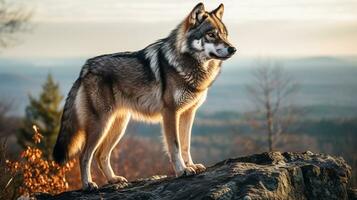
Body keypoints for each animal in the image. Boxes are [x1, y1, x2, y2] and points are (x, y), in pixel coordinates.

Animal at [52, 2, 235, 191]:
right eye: (211, 34)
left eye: (225, 34)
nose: (233, 49)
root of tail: (85, 69)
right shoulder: (170, 113)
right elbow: (175, 145)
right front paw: (182, 170)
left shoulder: (188, 113)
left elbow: (186, 144)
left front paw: (191, 165)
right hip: (101, 125)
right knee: (84, 155)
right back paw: (88, 184)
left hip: (118, 126)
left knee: (101, 155)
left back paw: (114, 179)